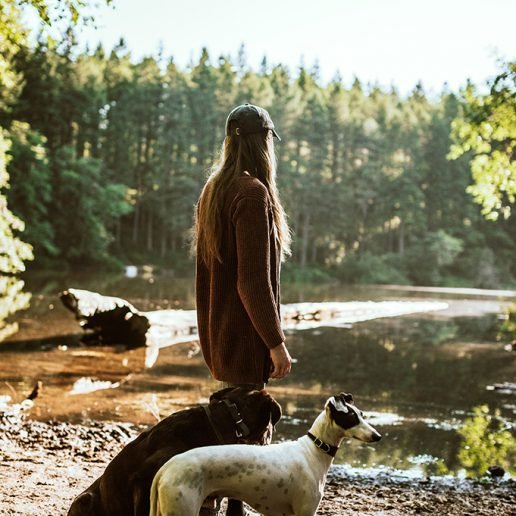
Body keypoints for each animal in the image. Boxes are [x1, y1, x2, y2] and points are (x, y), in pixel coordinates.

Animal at [148, 394, 378, 512]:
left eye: (362, 414)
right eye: (351, 418)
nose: (377, 436)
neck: (312, 451)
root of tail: (166, 467)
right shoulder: (305, 510)